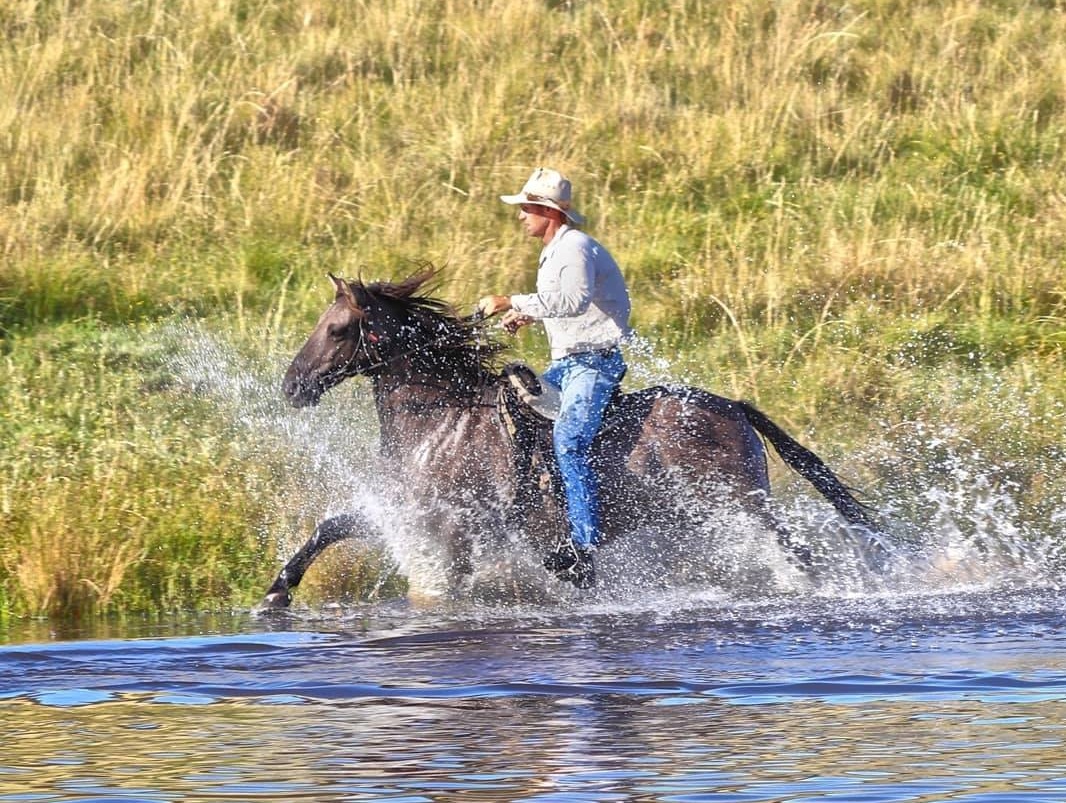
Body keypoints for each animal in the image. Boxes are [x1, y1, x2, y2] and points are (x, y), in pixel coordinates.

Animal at [262, 269, 878, 605]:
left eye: (337, 328)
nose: (293, 386)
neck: (441, 420)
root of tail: (735, 408)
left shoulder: (451, 524)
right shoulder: (412, 511)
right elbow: (332, 525)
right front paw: (277, 590)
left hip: (741, 506)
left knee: (799, 556)